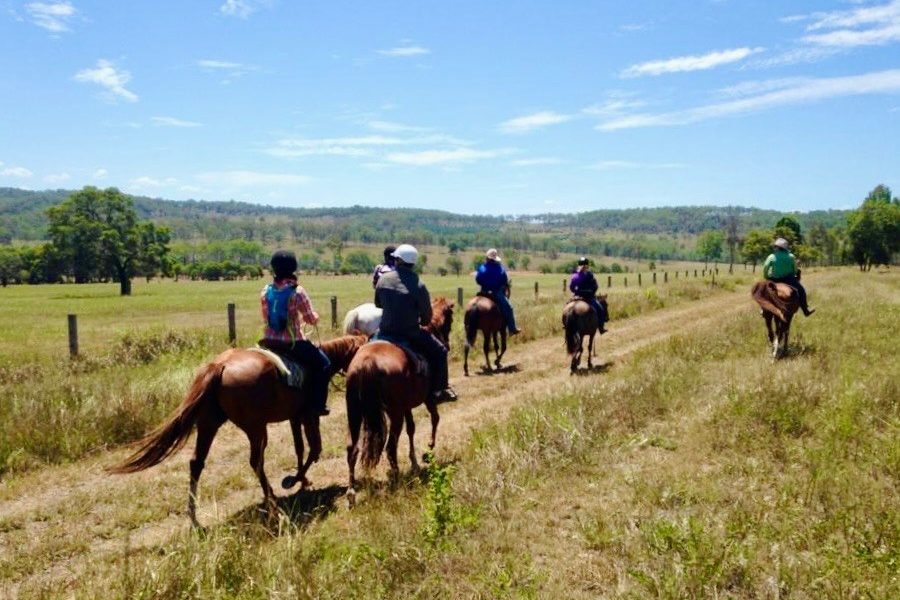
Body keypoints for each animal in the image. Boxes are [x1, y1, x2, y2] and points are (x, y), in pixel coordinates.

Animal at [109, 336, 366, 528]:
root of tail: (219, 366)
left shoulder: (295, 417)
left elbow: (300, 448)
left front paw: (301, 479)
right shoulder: (309, 415)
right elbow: (314, 449)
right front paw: (293, 480)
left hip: (209, 423)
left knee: (197, 462)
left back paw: (194, 516)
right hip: (256, 428)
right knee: (256, 461)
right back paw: (272, 502)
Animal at [346, 296, 458, 506]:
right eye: (450, 320)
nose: (446, 345)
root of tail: (367, 362)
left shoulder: (407, 406)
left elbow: (411, 429)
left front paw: (414, 462)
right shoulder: (428, 398)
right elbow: (435, 419)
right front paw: (428, 451)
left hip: (355, 413)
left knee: (352, 449)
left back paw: (351, 492)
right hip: (394, 413)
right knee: (390, 447)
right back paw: (397, 477)